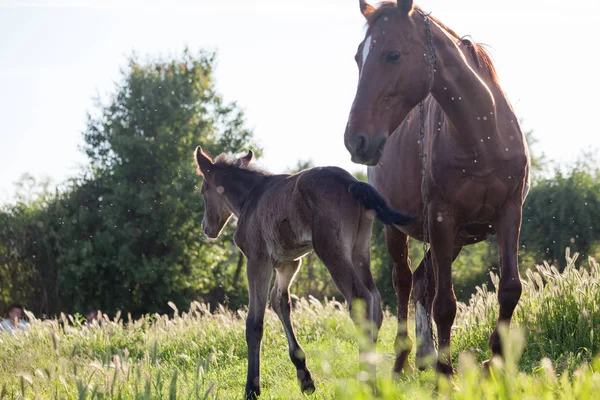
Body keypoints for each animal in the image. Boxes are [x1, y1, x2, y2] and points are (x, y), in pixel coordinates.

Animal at [195, 148, 414, 400]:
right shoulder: (288, 263)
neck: (251, 198)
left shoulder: (258, 260)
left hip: (331, 249)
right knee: (375, 300)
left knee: (361, 298)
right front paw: (305, 378)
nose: (207, 228)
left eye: (203, 191)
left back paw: (367, 383)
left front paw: (252, 387)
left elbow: (254, 323)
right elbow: (280, 302)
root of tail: (352, 182)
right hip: (359, 249)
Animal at [342, 0, 528, 376]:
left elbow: (509, 289)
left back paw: (425, 355)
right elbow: (445, 304)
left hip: (455, 239)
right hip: (399, 230)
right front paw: (447, 375)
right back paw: (404, 359)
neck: (481, 137)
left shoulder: (509, 213)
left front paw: (494, 362)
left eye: (393, 54)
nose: (356, 140)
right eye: (358, 57)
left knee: (420, 284)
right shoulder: (441, 217)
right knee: (404, 282)